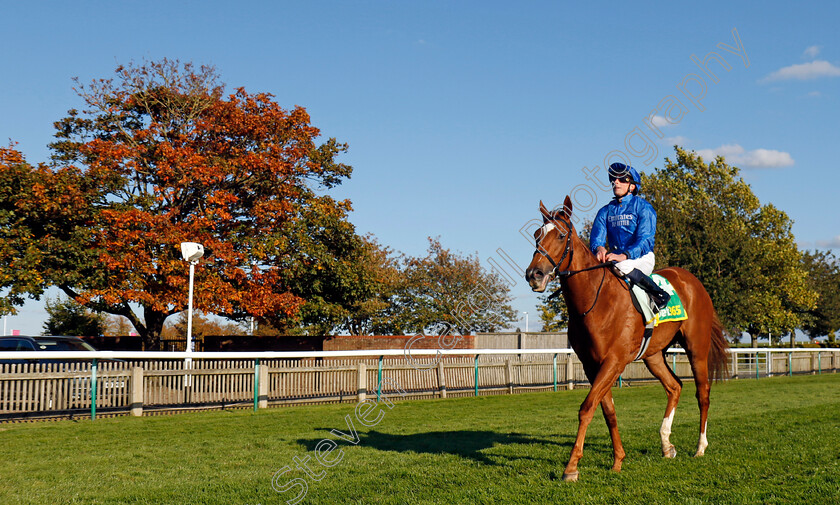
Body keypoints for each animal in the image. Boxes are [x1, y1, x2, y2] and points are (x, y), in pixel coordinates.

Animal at [524, 196, 728, 480]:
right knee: (674, 386)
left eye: (561, 235)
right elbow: (607, 410)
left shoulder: (614, 360)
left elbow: (587, 407)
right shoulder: (592, 364)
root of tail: (693, 281)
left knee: (703, 393)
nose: (534, 274)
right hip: (653, 355)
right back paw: (666, 444)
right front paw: (618, 459)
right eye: (536, 235)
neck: (595, 301)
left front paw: (571, 467)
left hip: (696, 347)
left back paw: (700, 447)